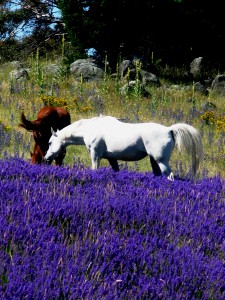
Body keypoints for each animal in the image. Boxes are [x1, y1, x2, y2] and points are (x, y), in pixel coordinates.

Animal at [44, 116, 204, 179]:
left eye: (50, 142)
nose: (46, 158)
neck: (91, 128)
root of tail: (169, 130)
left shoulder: (95, 155)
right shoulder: (111, 159)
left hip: (162, 161)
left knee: (170, 176)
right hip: (154, 161)